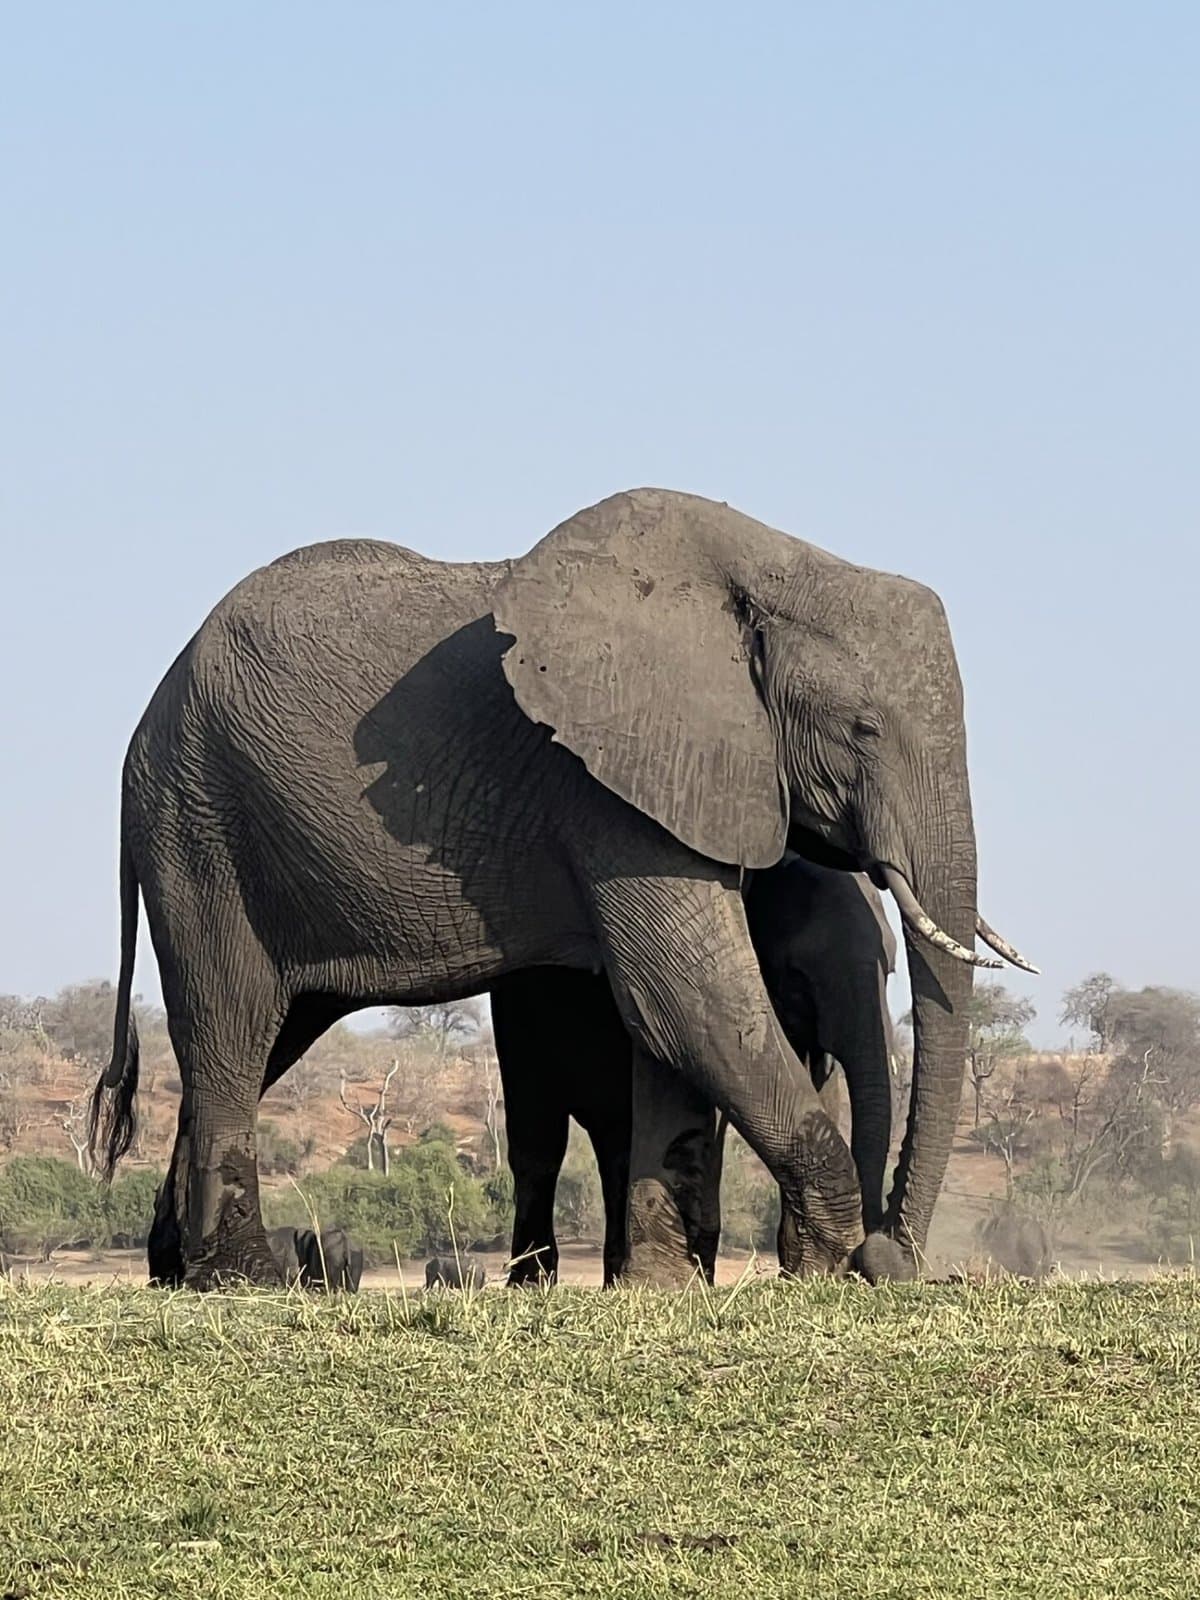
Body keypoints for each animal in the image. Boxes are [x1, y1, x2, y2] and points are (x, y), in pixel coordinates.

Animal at [492, 851, 896, 1286]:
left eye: (890, 971)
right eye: (798, 975)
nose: (874, 1255)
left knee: (610, 1145)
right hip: (522, 1012)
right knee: (540, 1141)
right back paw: (531, 1282)